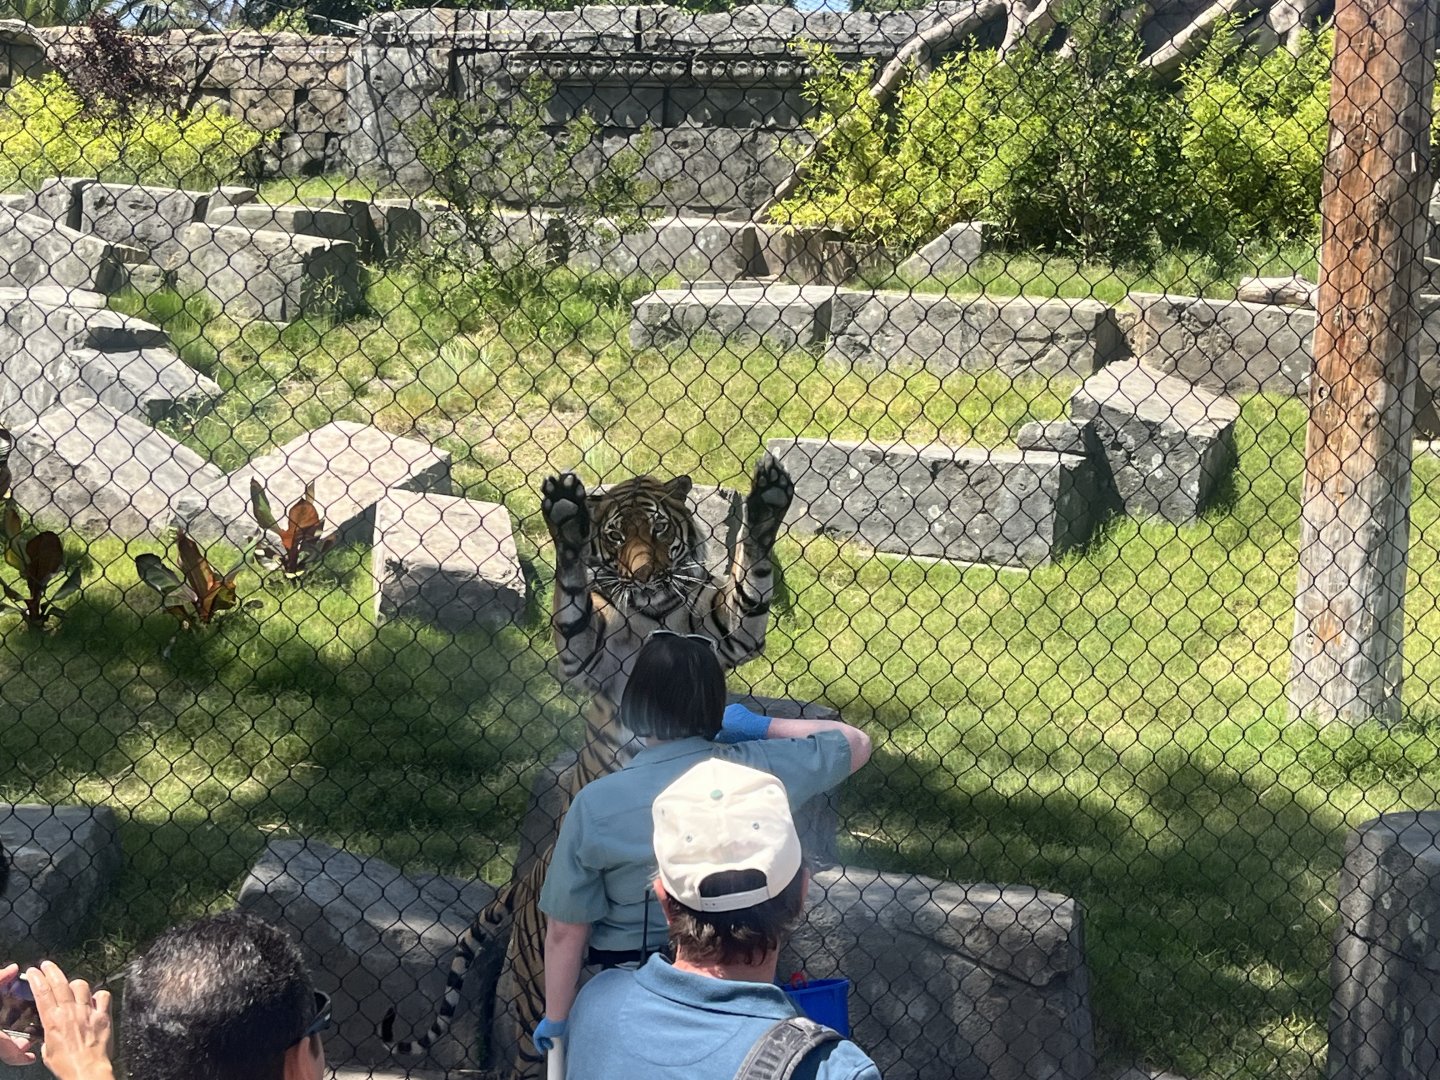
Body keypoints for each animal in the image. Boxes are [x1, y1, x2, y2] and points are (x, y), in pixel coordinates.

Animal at [382, 453, 795, 1078]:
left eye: (659, 531)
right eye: (618, 537)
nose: (645, 575)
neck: (651, 614)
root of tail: (531, 872)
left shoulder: (727, 634)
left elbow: (749, 590)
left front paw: (768, 506)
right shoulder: (587, 655)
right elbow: (572, 604)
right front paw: (565, 519)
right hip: (538, 991)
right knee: (531, 1050)